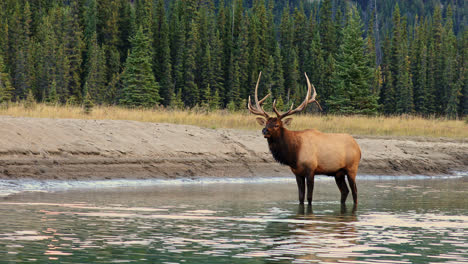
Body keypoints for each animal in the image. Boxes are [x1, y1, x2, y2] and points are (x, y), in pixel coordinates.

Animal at [249, 71, 362, 204]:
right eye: (266, 123)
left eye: (276, 125)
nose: (264, 130)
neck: (294, 155)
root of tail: (358, 148)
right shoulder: (297, 173)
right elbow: (301, 197)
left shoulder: (311, 170)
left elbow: (309, 197)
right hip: (338, 173)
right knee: (345, 191)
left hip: (352, 168)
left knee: (355, 192)